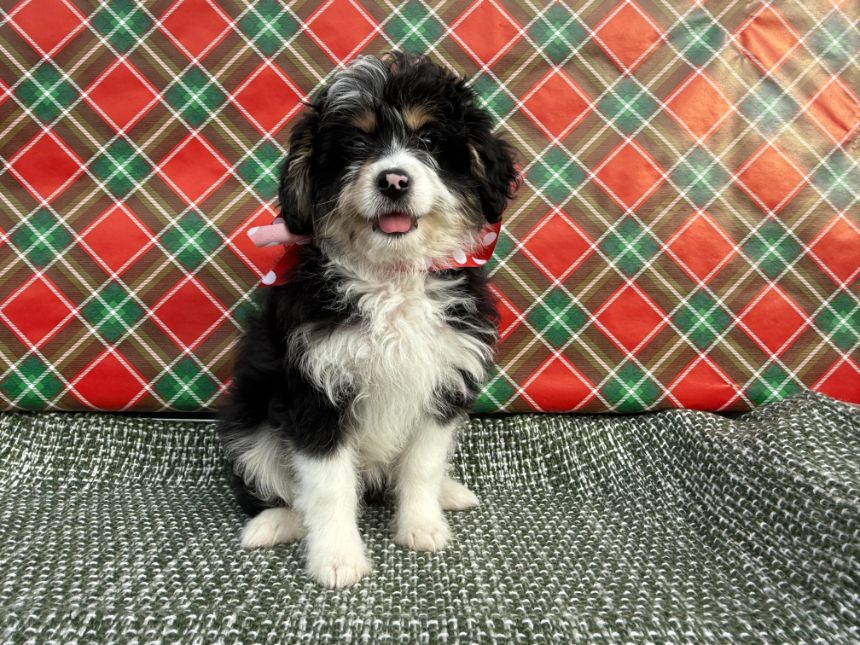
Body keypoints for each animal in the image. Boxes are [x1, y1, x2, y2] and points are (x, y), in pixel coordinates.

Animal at [218, 53, 517, 588]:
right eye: (356, 144)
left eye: (427, 142)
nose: (393, 179)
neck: (391, 279)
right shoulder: (315, 388)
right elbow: (327, 486)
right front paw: (337, 558)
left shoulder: (444, 379)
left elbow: (422, 466)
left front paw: (422, 527)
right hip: (247, 427)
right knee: (276, 487)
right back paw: (271, 524)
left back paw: (448, 492)